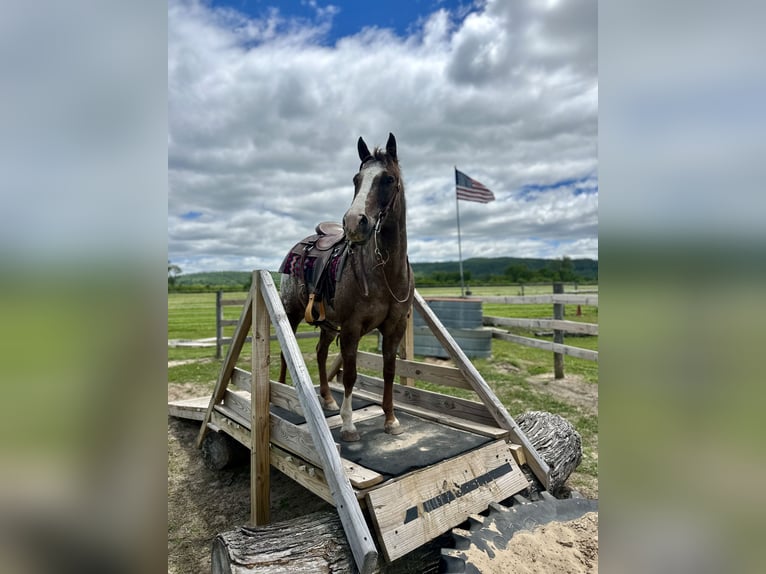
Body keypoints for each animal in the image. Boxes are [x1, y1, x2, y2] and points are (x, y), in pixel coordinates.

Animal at [278, 132, 414, 442]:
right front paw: (349, 425)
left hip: (328, 325)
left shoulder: (395, 327)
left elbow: (389, 370)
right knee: (283, 353)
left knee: (320, 352)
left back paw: (328, 399)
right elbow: (351, 374)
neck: (385, 273)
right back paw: (278, 393)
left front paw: (391, 420)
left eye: (388, 178)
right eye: (356, 179)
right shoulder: (352, 328)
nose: (354, 223)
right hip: (291, 314)